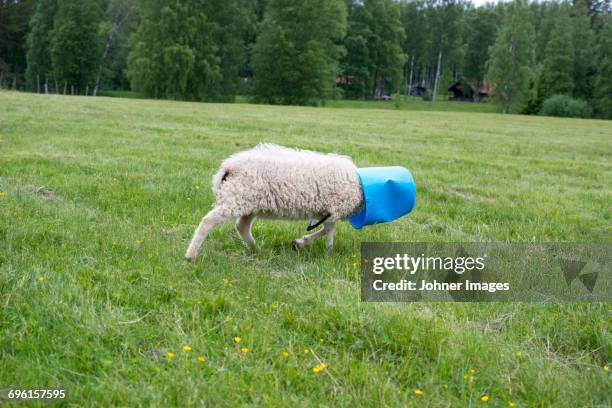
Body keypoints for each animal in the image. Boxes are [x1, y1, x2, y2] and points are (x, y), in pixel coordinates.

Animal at [184, 143, 360, 262]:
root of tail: (227, 167)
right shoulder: (333, 208)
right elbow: (330, 231)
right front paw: (328, 250)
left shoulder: (325, 211)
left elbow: (326, 229)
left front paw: (301, 242)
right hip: (236, 198)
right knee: (208, 221)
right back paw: (190, 256)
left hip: (248, 202)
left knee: (242, 226)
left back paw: (255, 248)